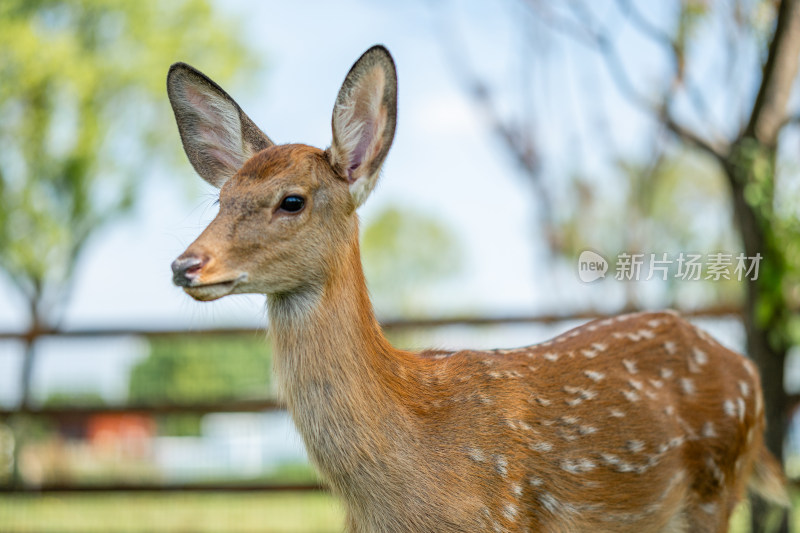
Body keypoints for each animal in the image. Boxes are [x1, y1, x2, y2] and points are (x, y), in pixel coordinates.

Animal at [167, 45, 788, 532]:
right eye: (221, 199)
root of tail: (748, 373)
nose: (184, 265)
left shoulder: (503, 517)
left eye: (292, 200)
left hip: (716, 491)